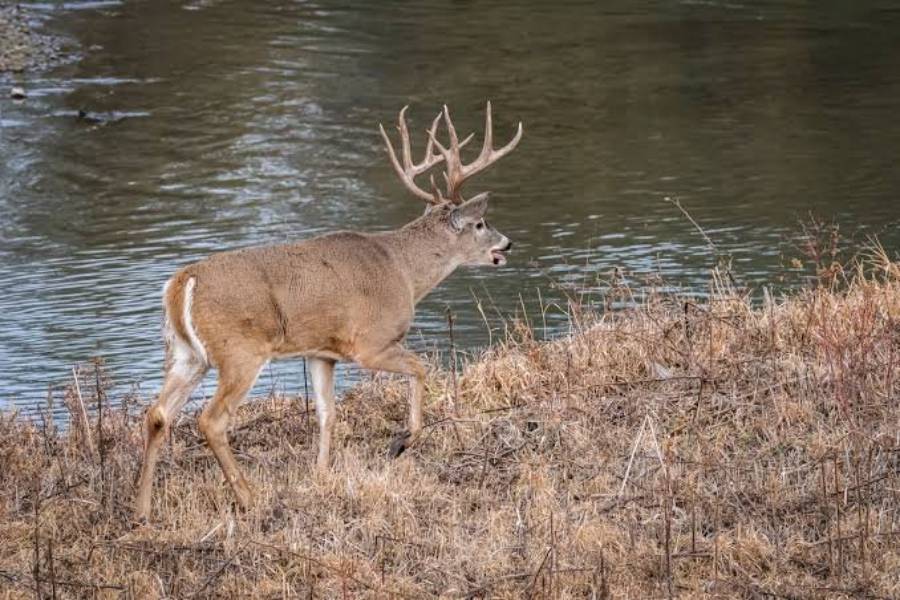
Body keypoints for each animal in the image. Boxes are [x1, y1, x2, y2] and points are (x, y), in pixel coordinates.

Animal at [134, 102, 523, 521]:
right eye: (480, 223)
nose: (507, 243)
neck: (403, 270)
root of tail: (181, 284)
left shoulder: (322, 353)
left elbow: (327, 413)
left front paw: (320, 473)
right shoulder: (369, 343)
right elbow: (421, 368)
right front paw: (402, 442)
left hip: (186, 354)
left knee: (158, 414)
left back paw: (142, 509)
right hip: (240, 351)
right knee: (211, 419)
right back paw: (249, 498)